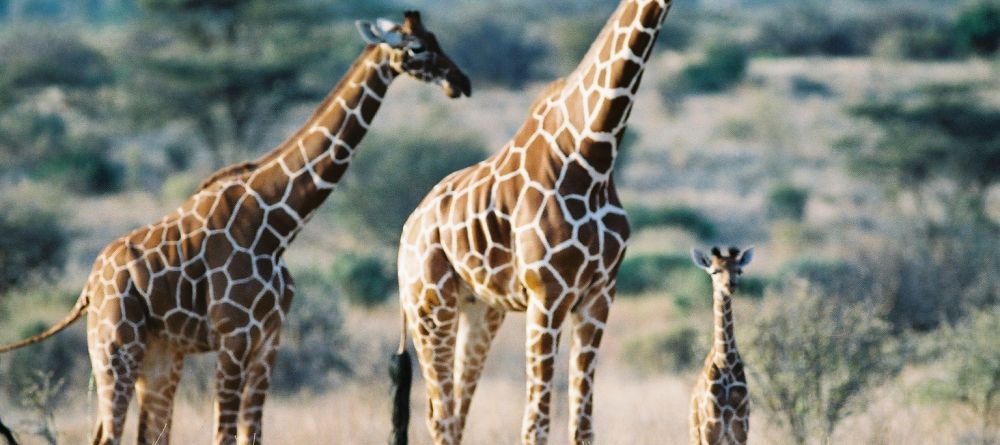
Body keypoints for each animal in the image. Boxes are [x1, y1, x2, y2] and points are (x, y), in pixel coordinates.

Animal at [0, 11, 469, 445]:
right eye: (416, 48)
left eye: (435, 38)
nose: (460, 81)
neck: (279, 224)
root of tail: (88, 287)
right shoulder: (233, 337)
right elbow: (223, 434)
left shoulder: (268, 341)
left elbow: (251, 433)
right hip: (114, 346)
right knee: (106, 434)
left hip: (160, 353)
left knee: (147, 433)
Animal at [389, 1, 674, 444]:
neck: (593, 153)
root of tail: (408, 230)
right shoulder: (548, 293)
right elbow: (535, 424)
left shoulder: (599, 294)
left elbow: (582, 426)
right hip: (429, 305)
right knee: (440, 415)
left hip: (480, 310)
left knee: (457, 411)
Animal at [688, 246, 753, 445]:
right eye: (715, 271)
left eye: (739, 270)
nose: (730, 285)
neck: (726, 360)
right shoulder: (711, 429)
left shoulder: (740, 430)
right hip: (696, 434)